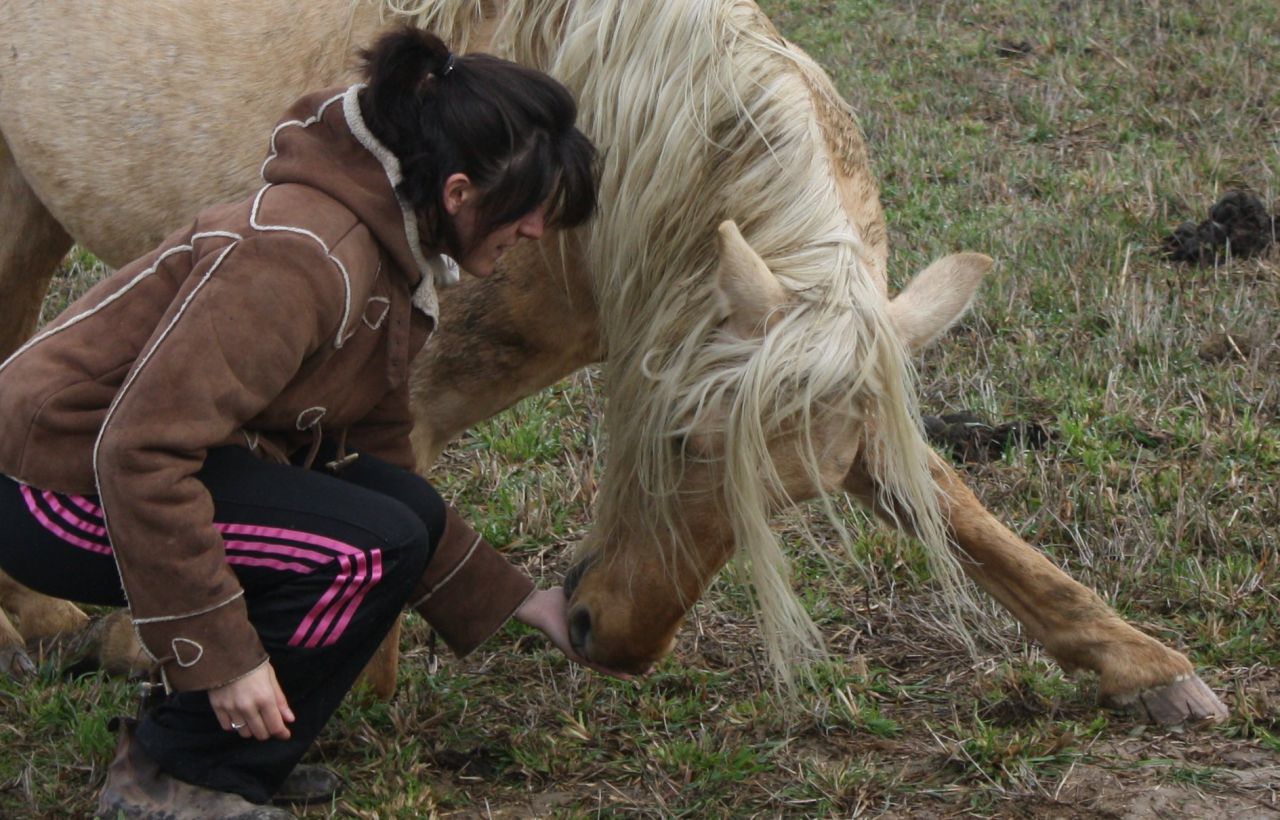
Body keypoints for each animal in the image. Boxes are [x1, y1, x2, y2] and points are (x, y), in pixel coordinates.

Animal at [0, 0, 1227, 725]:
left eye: (799, 498)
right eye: (677, 438)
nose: (609, 642)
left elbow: (958, 510)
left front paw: (1144, 668)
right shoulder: (409, 393)